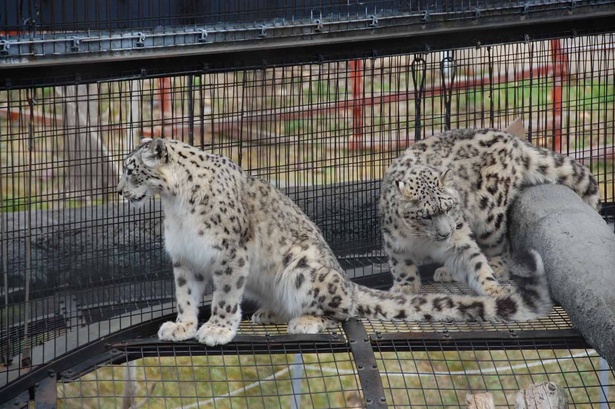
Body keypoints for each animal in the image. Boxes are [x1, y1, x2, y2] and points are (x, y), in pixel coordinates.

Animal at [118, 136, 556, 344]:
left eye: (132, 169)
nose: (120, 192)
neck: (174, 207)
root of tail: (345, 280)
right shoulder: (184, 258)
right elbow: (185, 296)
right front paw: (181, 326)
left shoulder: (229, 253)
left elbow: (224, 296)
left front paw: (217, 329)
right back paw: (269, 313)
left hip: (304, 268)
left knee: (344, 311)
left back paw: (305, 319)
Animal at [380, 127, 600, 296]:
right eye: (425, 215)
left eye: (449, 207)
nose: (445, 233)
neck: (423, 240)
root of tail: (514, 140)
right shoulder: (395, 243)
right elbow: (401, 265)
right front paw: (405, 287)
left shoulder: (460, 236)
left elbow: (475, 262)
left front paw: (494, 289)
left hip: (490, 215)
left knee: (500, 248)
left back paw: (493, 267)